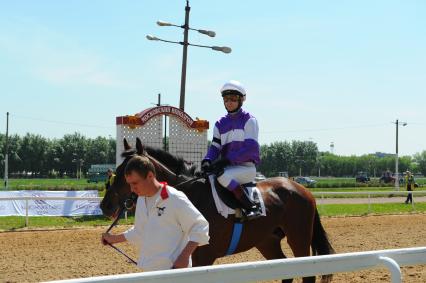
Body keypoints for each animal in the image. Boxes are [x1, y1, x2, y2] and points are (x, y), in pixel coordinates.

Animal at [101, 139, 334, 282]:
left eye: (127, 173)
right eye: (118, 170)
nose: (105, 205)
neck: (191, 196)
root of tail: (301, 188)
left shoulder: (203, 257)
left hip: (299, 238)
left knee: (307, 273)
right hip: (267, 241)